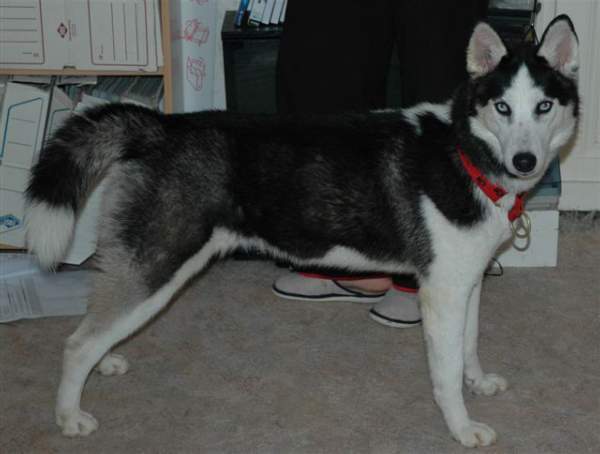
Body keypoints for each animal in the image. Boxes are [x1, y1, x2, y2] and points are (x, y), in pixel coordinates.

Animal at [25, 16, 579, 447]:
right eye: (502, 107)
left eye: (543, 107)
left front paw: (477, 383)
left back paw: (104, 361)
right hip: (159, 264)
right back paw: (70, 414)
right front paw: (462, 428)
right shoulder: (441, 293)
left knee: (97, 323)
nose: (525, 161)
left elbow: (469, 346)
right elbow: (444, 375)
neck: (465, 153)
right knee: (77, 342)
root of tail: (159, 127)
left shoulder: (467, 282)